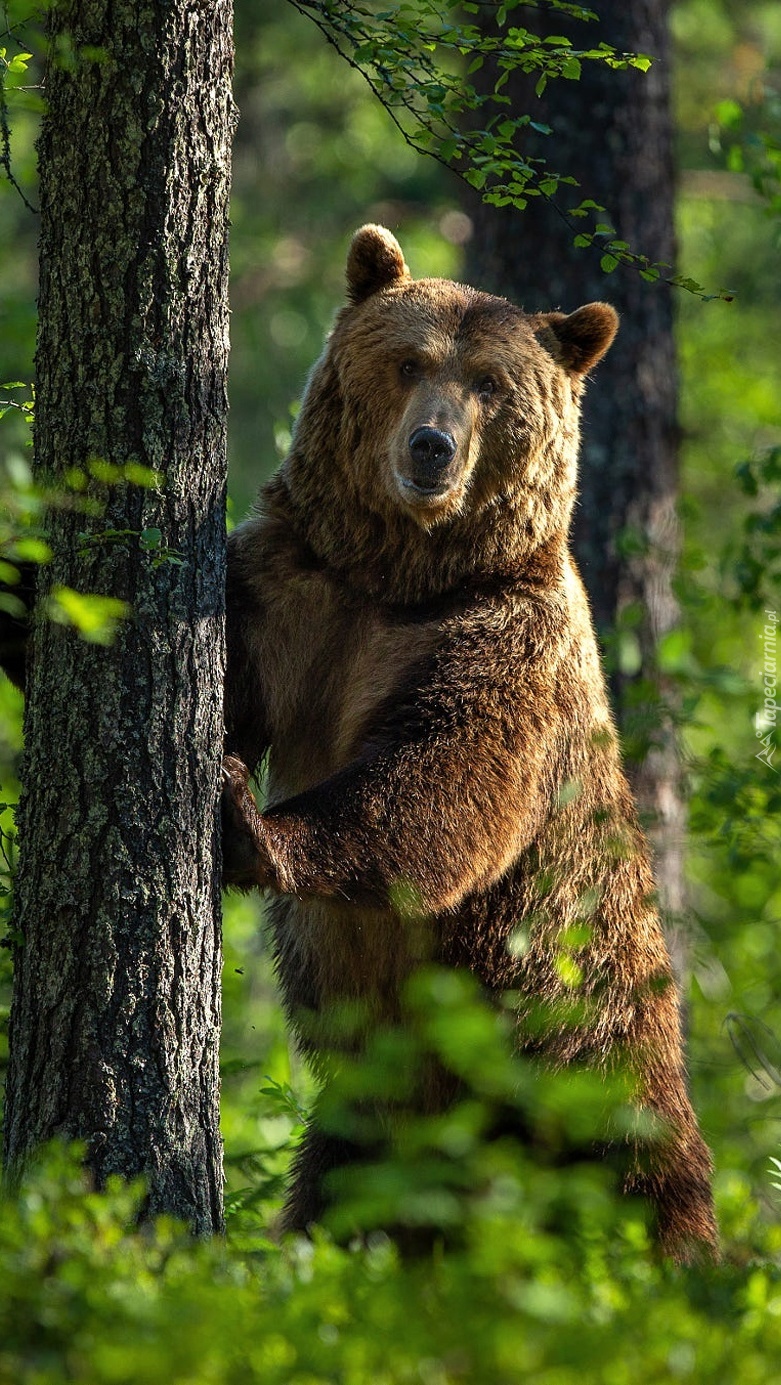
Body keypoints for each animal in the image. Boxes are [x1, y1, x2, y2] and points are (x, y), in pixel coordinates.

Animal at [222, 221, 714, 1263]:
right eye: (408, 360)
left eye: (490, 383)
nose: (431, 446)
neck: (403, 575)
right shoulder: (298, 586)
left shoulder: (502, 641)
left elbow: (444, 783)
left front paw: (251, 820)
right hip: (374, 1127)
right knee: (336, 1200)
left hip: (584, 1060)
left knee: (641, 1205)